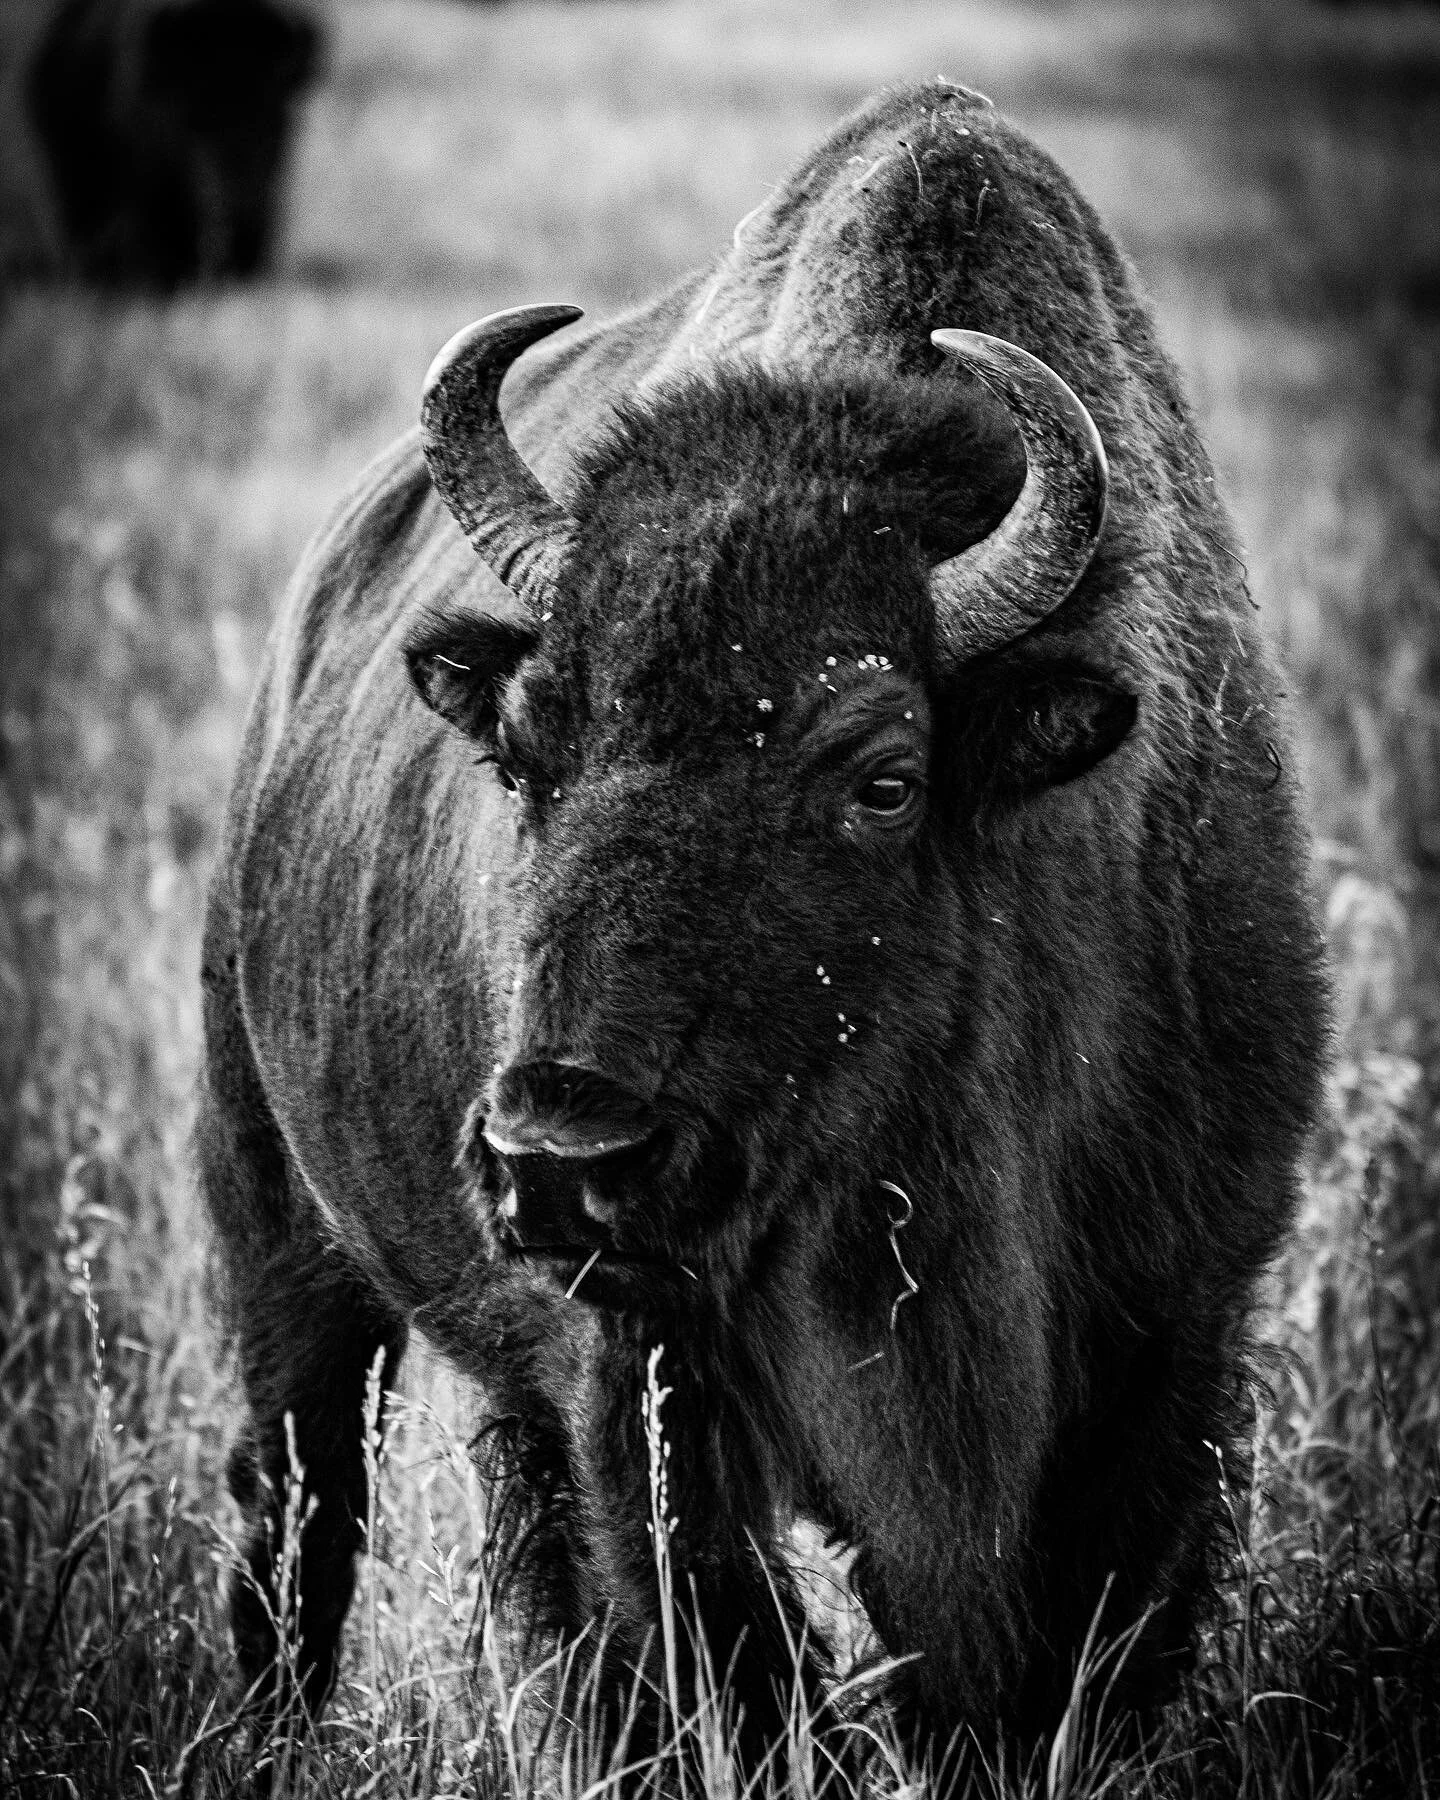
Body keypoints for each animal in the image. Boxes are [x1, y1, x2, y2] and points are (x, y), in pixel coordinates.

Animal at [200, 81, 1328, 1766]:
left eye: (884, 777)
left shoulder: (1169, 1345)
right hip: (274, 1223)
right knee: (300, 1501)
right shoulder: (651, 1389)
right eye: (523, 753)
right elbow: (740, 1662)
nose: (557, 1155)